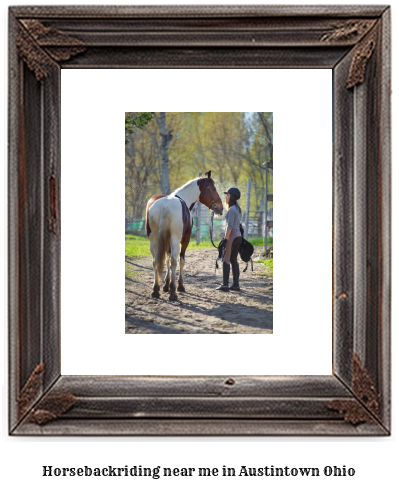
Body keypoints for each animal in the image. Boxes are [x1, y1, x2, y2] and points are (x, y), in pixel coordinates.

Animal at [145, 170, 223, 300]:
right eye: (213, 189)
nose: (220, 208)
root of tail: (165, 206)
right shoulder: (185, 240)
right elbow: (181, 260)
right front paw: (179, 286)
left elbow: (166, 260)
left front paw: (165, 285)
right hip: (175, 239)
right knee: (174, 261)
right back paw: (173, 292)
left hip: (154, 240)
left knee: (156, 261)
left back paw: (156, 290)